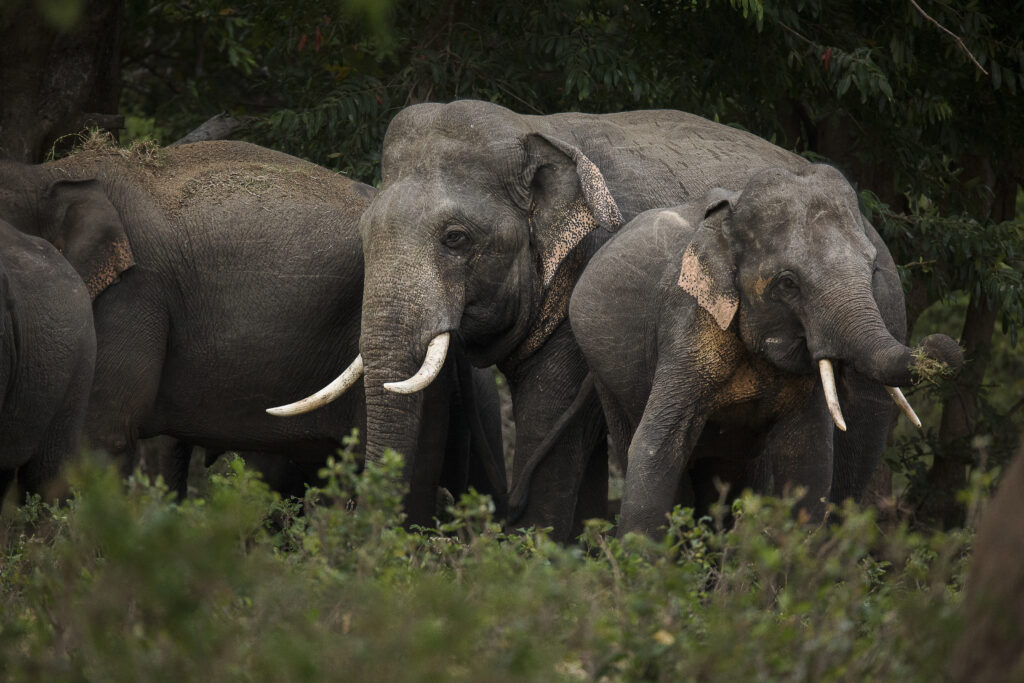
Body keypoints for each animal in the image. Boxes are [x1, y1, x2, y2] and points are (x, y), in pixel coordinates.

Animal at [568, 165, 963, 536]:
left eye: (872, 270)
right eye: (788, 284)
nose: (943, 344)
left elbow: (809, 458)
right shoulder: (688, 322)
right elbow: (657, 445)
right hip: (604, 374)